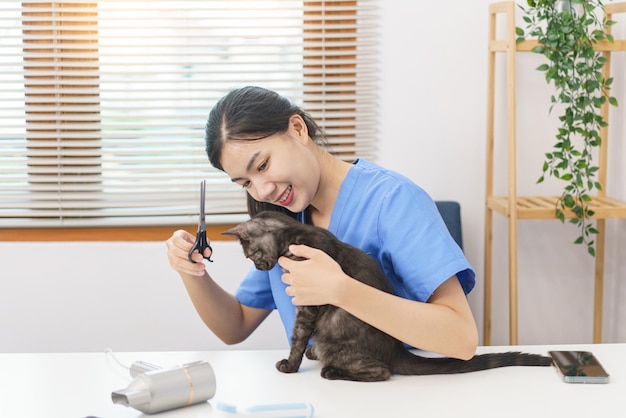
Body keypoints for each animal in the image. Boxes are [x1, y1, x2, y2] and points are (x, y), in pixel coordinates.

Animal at [221, 212, 552, 382]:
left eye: (250, 255)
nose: (258, 267)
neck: (295, 234)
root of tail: (397, 351)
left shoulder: (308, 299)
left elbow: (298, 336)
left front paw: (290, 365)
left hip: (337, 342)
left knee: (381, 372)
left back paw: (331, 371)